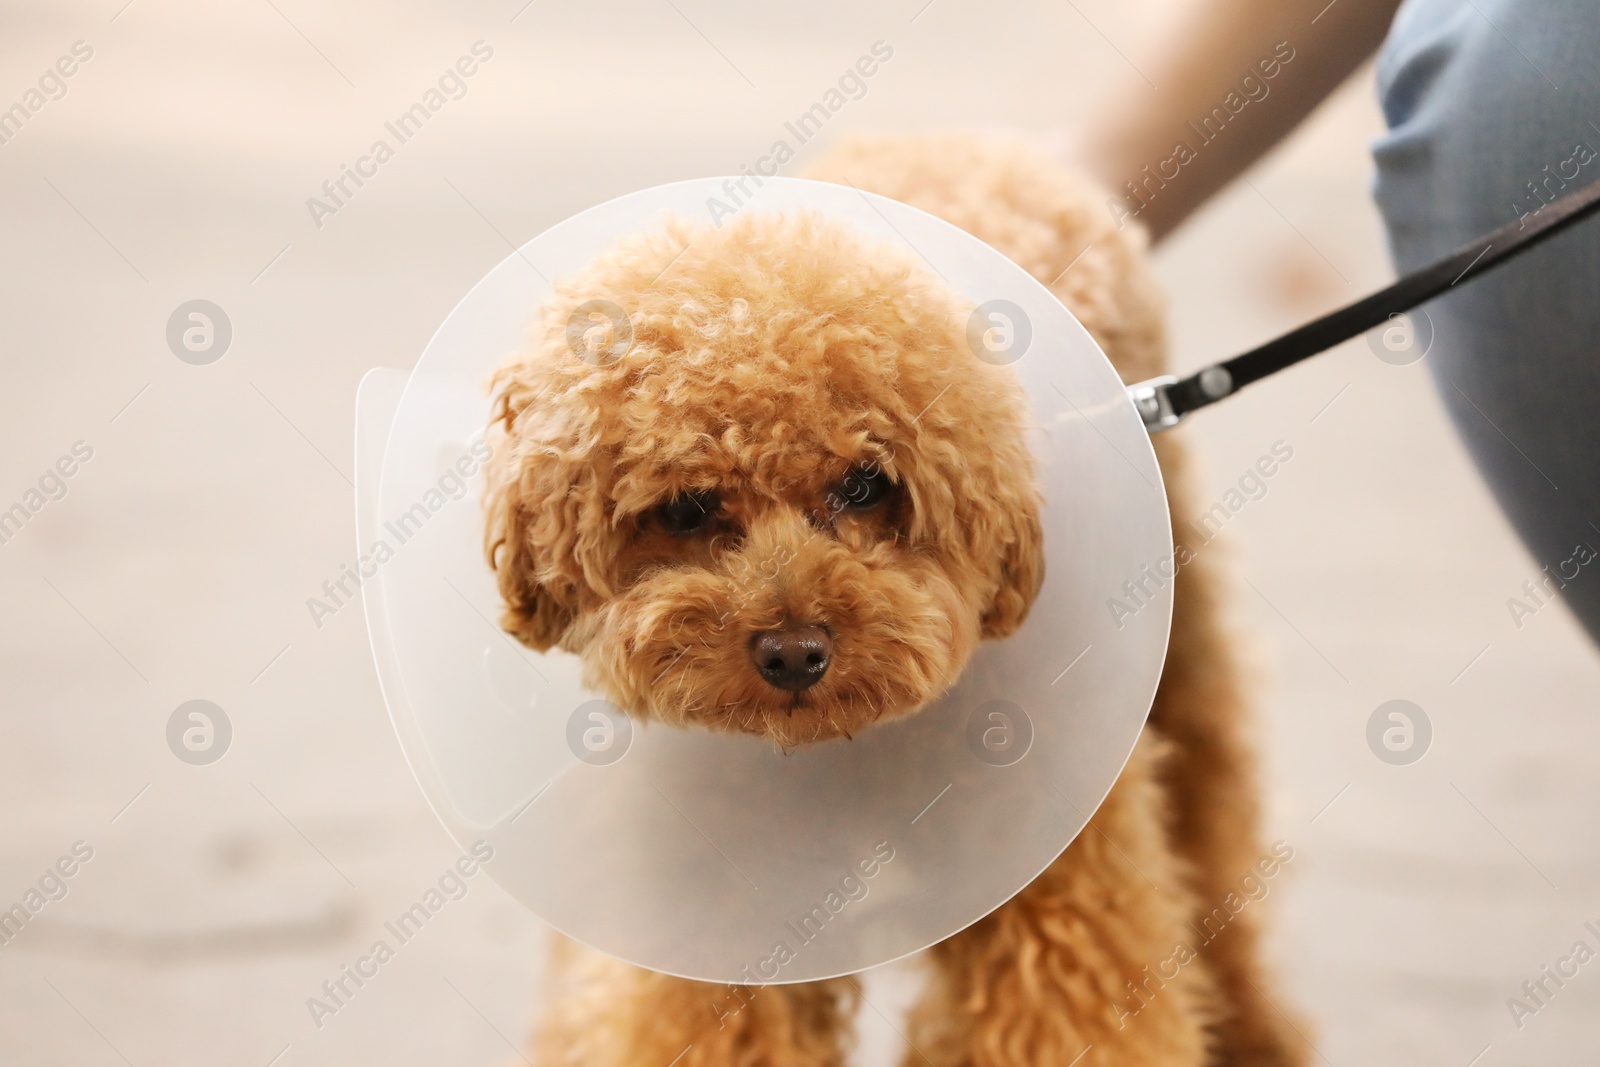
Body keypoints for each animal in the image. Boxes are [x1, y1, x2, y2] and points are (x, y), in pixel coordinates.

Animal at [480, 135, 1305, 1067]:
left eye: (866, 485)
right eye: (688, 507)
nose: (794, 651)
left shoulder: (1051, 869)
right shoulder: (712, 909)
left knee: (1213, 812)